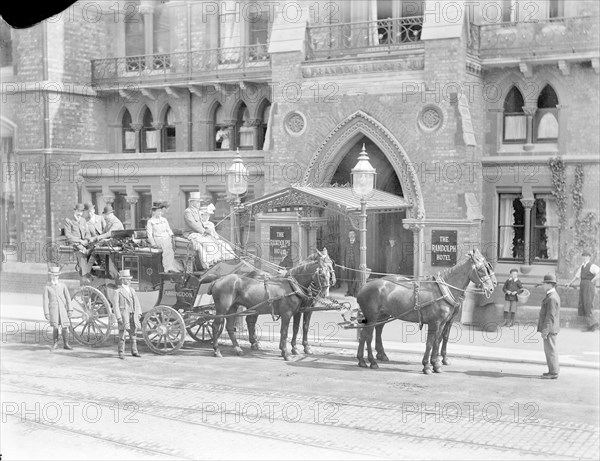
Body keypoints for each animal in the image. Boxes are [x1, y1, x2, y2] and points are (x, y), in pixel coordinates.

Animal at [358, 248, 494, 374]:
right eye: (482, 269)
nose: (492, 288)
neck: (443, 290)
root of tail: (364, 286)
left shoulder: (443, 323)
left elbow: (437, 341)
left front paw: (436, 364)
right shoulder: (434, 323)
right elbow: (430, 343)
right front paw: (427, 366)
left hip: (382, 315)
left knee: (368, 334)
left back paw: (363, 360)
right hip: (372, 317)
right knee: (367, 336)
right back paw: (372, 361)